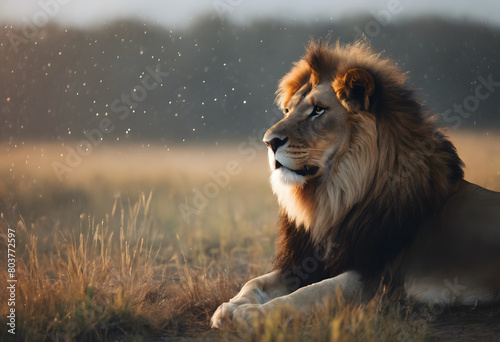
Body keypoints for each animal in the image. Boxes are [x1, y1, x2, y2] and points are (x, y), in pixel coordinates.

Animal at [210, 40, 500, 328]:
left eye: (318, 110)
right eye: (287, 111)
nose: (269, 142)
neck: (332, 200)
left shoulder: (374, 279)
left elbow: (308, 294)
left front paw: (253, 314)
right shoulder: (307, 262)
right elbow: (256, 281)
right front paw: (229, 307)